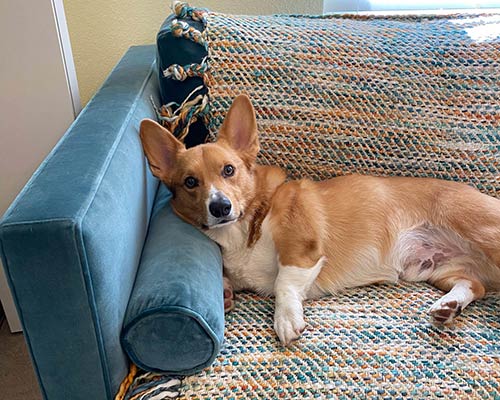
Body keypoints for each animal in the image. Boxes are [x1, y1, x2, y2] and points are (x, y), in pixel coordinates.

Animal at [140, 94, 500, 346]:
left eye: (229, 170)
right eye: (190, 182)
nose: (220, 207)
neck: (242, 229)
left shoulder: (302, 249)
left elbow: (284, 282)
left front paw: (286, 320)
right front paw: (226, 292)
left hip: (480, 230)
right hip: (437, 270)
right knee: (475, 285)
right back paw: (449, 305)